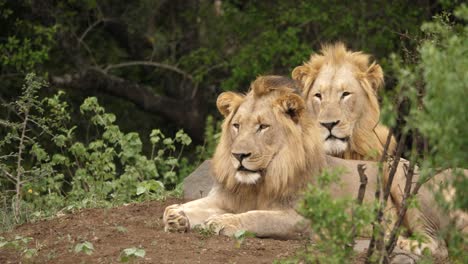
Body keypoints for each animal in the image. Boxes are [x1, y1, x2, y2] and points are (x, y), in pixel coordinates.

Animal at [165, 75, 460, 256]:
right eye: (237, 125)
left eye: (263, 127)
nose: (239, 155)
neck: (259, 182)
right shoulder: (227, 197)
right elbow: (188, 207)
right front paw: (176, 216)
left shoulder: (301, 218)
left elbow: (255, 216)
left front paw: (222, 222)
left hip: (399, 176)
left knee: (436, 244)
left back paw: (393, 241)